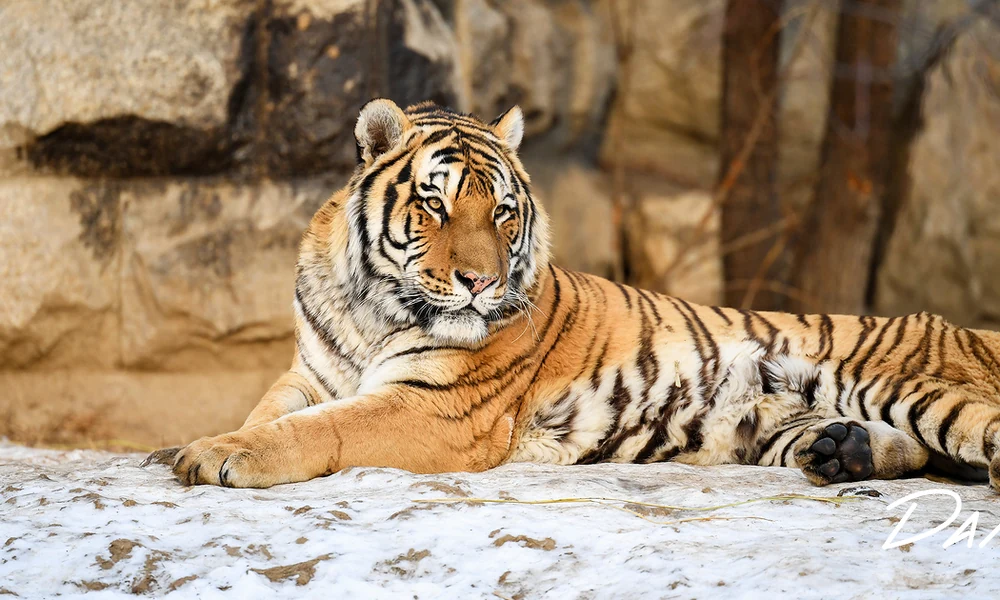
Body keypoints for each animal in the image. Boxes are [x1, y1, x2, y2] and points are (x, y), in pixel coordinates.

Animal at [144, 98, 1000, 492]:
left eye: (502, 212)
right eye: (434, 204)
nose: (481, 282)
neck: (370, 308)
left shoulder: (437, 407)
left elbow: (321, 429)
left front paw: (218, 455)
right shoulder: (309, 372)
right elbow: (271, 410)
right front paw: (187, 443)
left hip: (913, 382)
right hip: (776, 427)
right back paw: (843, 450)